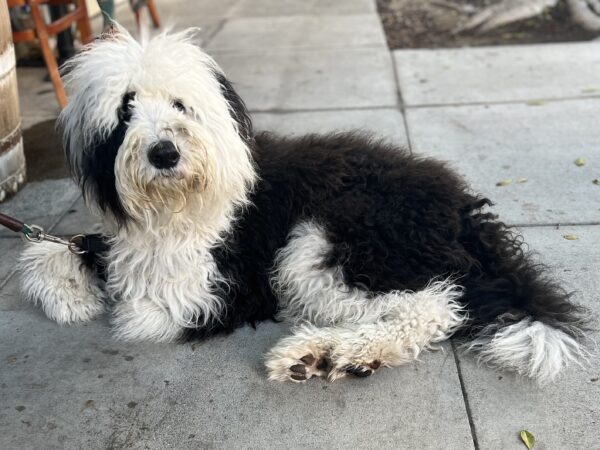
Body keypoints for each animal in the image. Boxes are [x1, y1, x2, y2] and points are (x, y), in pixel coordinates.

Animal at [19, 27, 592, 384]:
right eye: (126, 109)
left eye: (181, 106)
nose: (164, 152)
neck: (178, 208)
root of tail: (459, 207)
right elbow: (57, 250)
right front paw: (71, 292)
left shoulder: (215, 288)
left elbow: (136, 311)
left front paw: (89, 295)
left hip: (329, 242)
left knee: (433, 304)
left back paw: (331, 352)